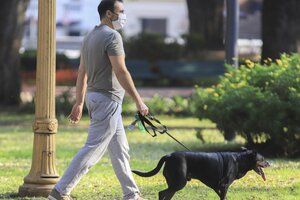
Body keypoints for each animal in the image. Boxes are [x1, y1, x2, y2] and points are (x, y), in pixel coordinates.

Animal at [133, 148, 270, 200]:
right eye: (262, 159)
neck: (240, 160)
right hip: (179, 182)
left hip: (174, 184)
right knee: (162, 193)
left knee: (167, 195)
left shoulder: (217, 187)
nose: (269, 164)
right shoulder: (224, 186)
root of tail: (169, 156)